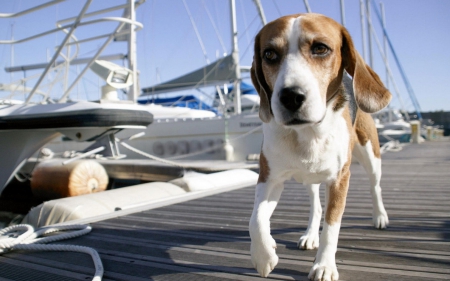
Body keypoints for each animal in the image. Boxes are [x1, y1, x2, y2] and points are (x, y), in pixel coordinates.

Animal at [248, 12, 392, 278]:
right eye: (269, 54)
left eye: (320, 48)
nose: (290, 96)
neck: (307, 133)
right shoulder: (269, 178)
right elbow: (256, 220)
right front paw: (263, 256)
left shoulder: (339, 179)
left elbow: (332, 226)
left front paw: (324, 265)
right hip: (309, 179)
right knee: (315, 207)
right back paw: (309, 235)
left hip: (371, 156)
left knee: (374, 187)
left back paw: (379, 216)